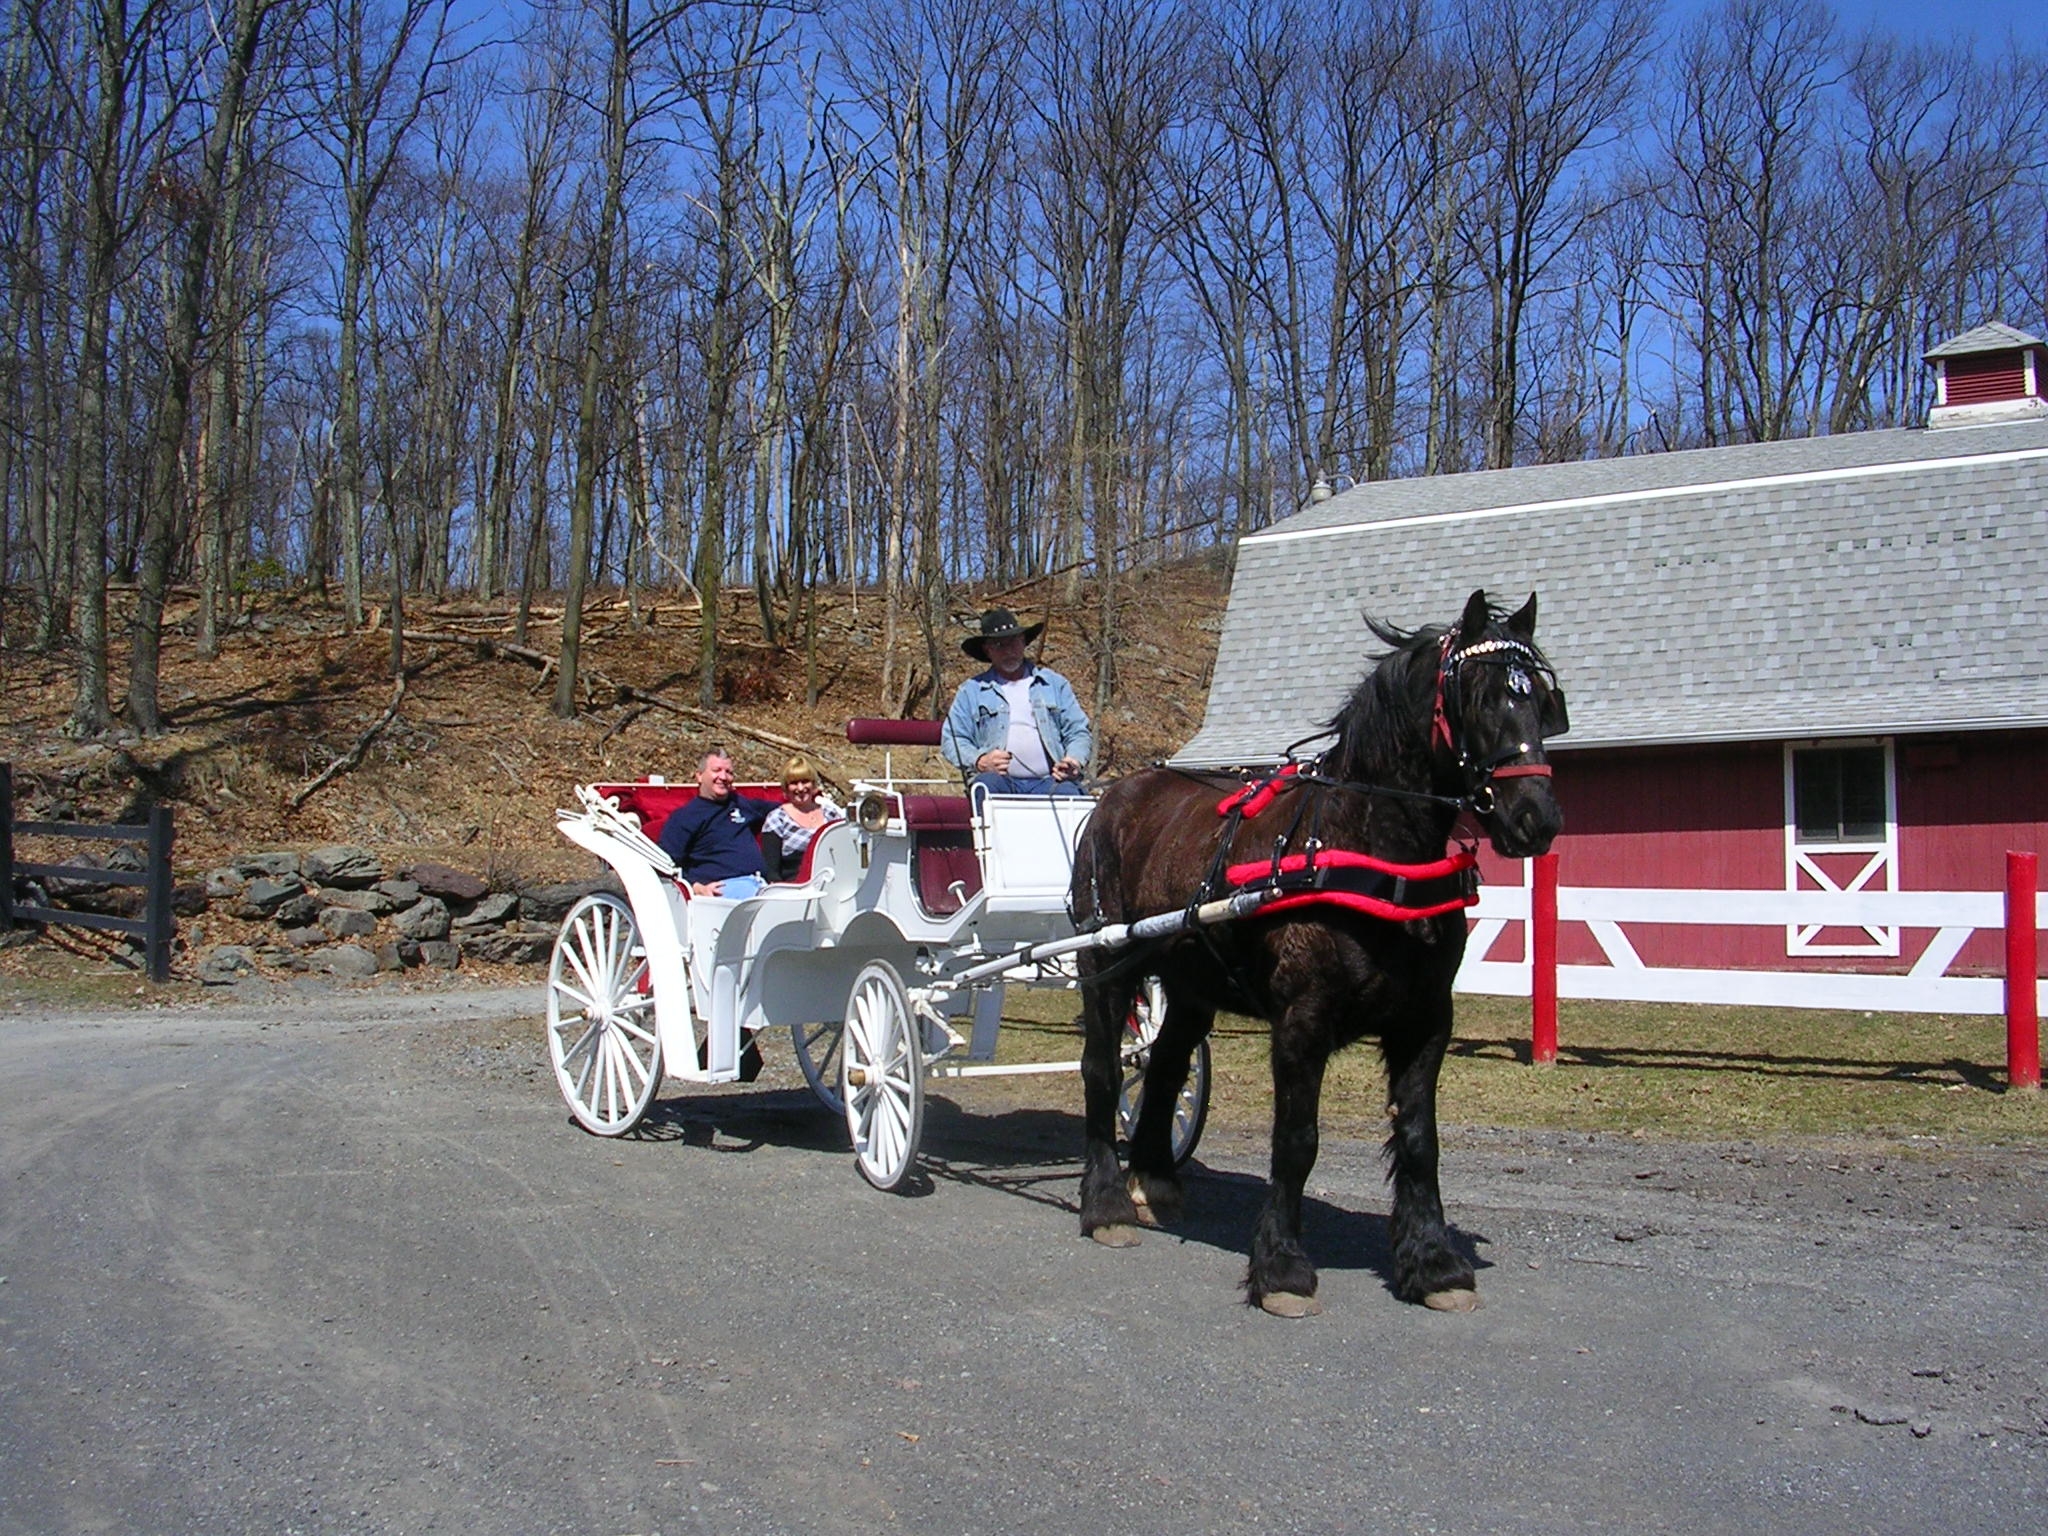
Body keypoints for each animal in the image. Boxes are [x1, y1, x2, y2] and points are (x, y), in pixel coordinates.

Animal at [1073, 593, 1564, 1318]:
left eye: (1546, 703)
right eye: (1476, 698)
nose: (1536, 818)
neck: (1367, 847)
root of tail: (1116, 795)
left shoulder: (1426, 1021)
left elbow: (1420, 1141)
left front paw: (1433, 1264)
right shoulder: (1302, 1020)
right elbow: (1296, 1140)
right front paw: (1281, 1267)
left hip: (1190, 984)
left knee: (1162, 1067)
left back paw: (1154, 1179)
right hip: (1106, 966)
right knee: (1104, 1071)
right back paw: (1106, 1202)